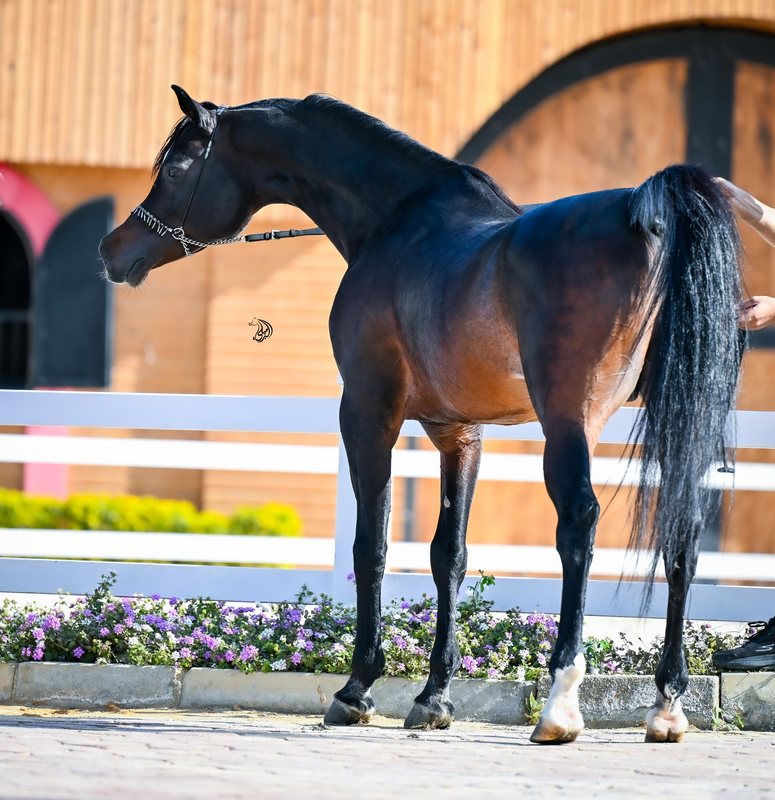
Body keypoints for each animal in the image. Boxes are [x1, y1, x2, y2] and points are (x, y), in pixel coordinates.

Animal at [99, 85, 744, 744]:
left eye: (176, 169)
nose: (111, 250)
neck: (396, 223)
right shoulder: (458, 433)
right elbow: (447, 556)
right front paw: (434, 697)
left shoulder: (367, 412)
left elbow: (372, 546)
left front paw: (357, 688)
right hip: (676, 422)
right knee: (684, 529)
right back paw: (667, 703)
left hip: (570, 422)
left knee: (579, 525)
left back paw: (561, 703)